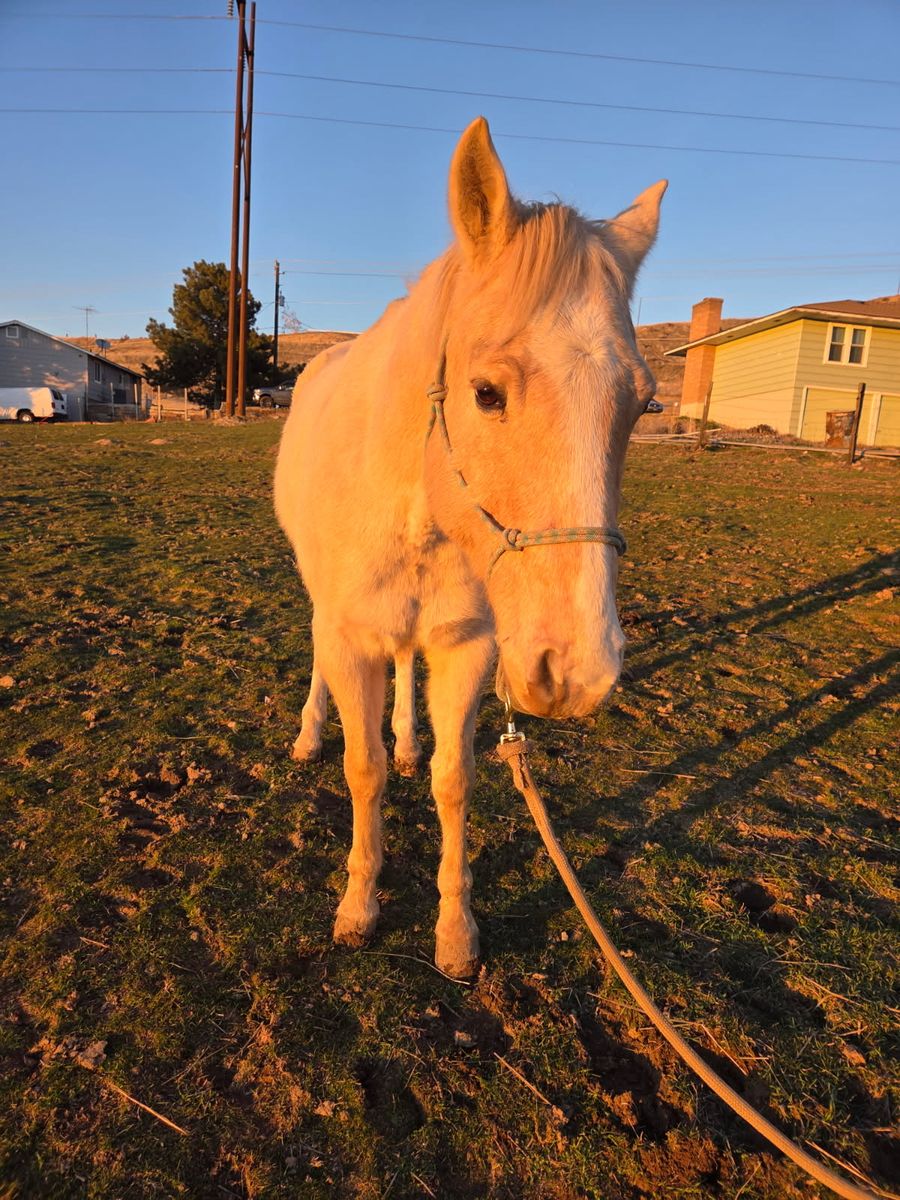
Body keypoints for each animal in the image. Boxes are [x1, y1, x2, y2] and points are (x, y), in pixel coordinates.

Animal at [274, 117, 665, 978]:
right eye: (486, 393)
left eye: (642, 404)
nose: (579, 673)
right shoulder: (350, 637)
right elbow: (362, 771)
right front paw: (359, 906)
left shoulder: (469, 646)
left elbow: (453, 780)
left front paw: (455, 932)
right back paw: (311, 732)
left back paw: (407, 738)